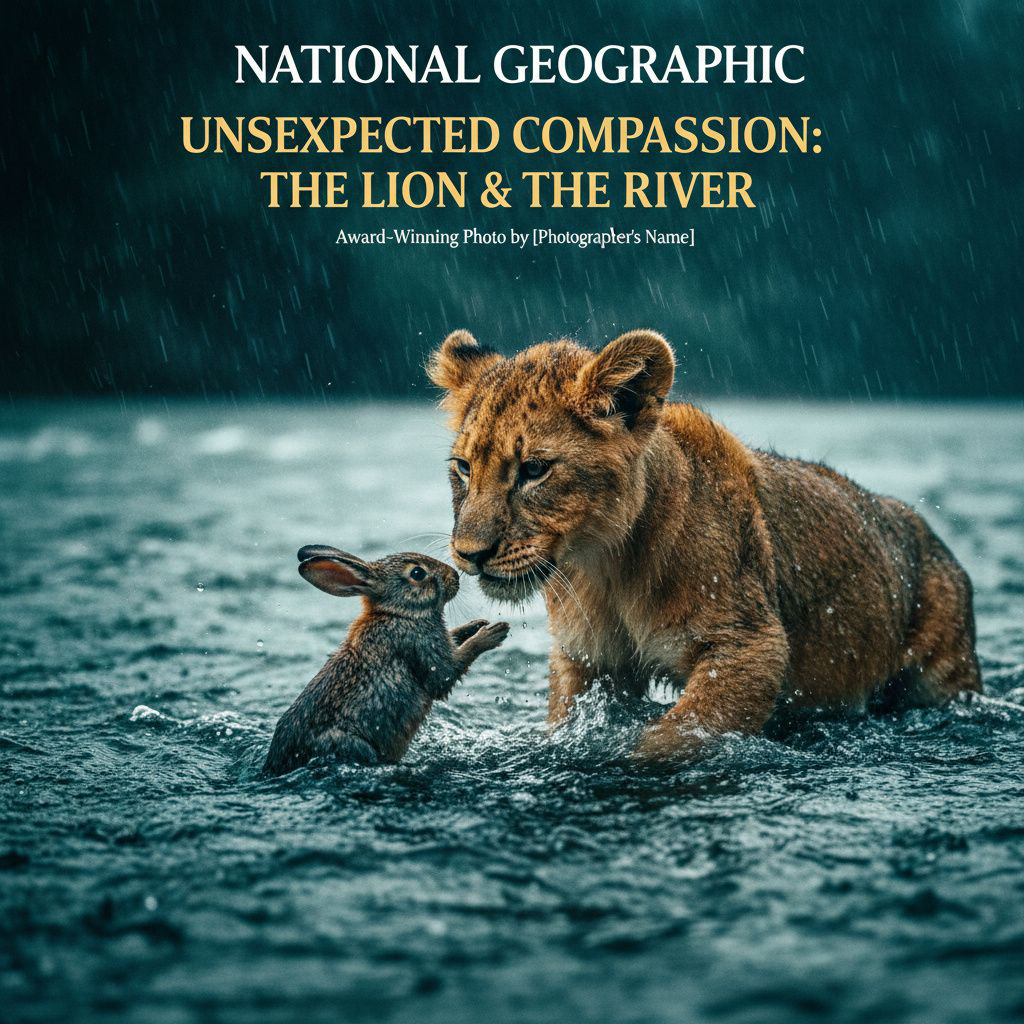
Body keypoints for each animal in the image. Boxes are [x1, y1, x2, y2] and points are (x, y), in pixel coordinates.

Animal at [262, 545, 510, 777]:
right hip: (350, 744)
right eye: (417, 573)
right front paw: (492, 633)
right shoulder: (423, 652)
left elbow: (455, 637)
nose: (455, 576)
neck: (398, 613)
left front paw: (477, 625)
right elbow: (449, 670)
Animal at [427, 328, 982, 759]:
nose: (469, 554)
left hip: (946, 670)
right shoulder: (588, 662)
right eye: (464, 467)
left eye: (535, 469)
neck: (606, 567)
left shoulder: (751, 645)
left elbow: (673, 737)